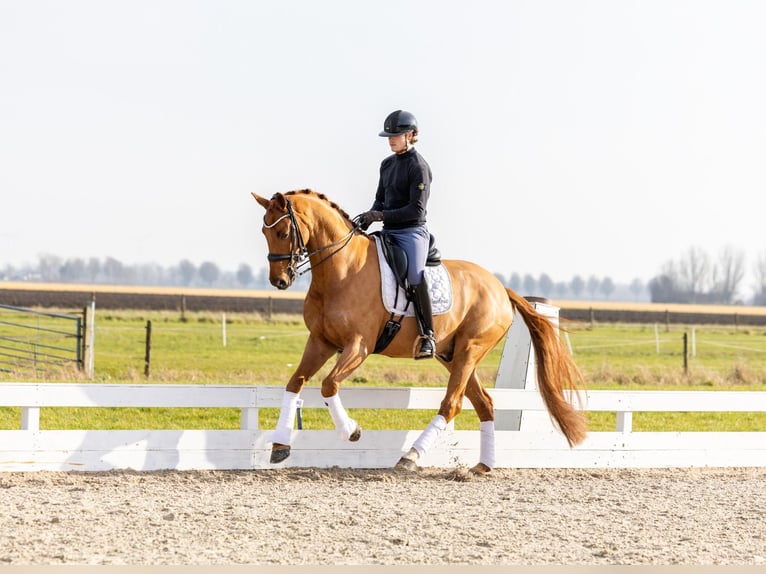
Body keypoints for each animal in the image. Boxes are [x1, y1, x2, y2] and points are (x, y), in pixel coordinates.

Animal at [252, 189, 587, 474]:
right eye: (264, 233)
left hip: (470, 349)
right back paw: (483, 466)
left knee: (452, 404)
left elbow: (328, 384)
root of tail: (500, 288)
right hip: (453, 355)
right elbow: (295, 383)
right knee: (483, 403)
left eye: (283, 233)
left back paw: (410, 457)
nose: (279, 281)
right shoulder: (321, 341)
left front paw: (351, 431)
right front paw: (280, 445)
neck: (341, 270)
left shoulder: (358, 346)